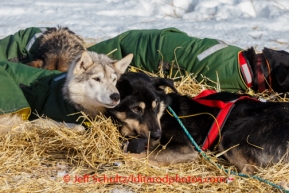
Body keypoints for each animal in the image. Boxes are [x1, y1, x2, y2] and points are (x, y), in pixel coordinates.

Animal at [108, 72, 288, 173]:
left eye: (156, 105)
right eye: (136, 109)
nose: (157, 135)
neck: (164, 114)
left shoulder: (185, 148)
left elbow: (140, 155)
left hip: (230, 139)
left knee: (250, 170)